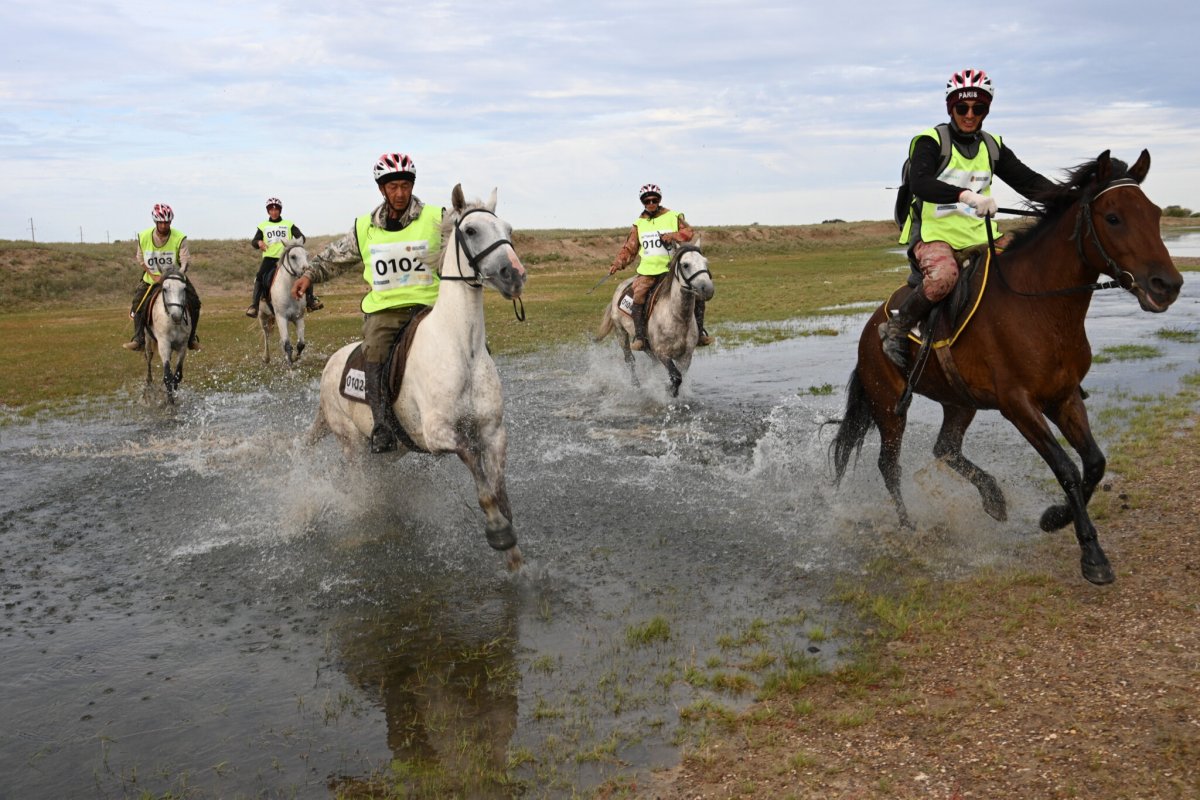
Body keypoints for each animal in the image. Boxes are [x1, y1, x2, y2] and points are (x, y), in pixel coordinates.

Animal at [145, 267, 194, 402]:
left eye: (184, 289)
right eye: (165, 289)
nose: (176, 316)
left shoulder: (182, 346)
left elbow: (177, 376)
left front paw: (175, 396)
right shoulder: (164, 344)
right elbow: (167, 376)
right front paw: (170, 402)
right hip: (147, 339)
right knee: (148, 357)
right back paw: (149, 383)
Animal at [309, 185, 530, 568]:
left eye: (508, 229)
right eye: (471, 230)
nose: (513, 275)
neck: (462, 348)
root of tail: (330, 365)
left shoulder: (493, 432)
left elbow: (499, 489)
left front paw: (515, 557)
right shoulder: (439, 434)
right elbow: (481, 480)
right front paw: (498, 531)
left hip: (389, 451)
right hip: (352, 445)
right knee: (359, 484)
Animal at [597, 242, 715, 395]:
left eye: (705, 262)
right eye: (686, 265)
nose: (708, 289)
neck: (677, 317)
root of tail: (621, 287)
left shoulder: (686, 357)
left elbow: (679, 376)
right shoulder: (662, 353)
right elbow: (676, 376)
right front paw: (668, 389)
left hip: (647, 345)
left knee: (652, 361)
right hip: (621, 332)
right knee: (629, 360)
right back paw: (636, 386)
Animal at [835, 149, 1180, 585]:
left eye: (1154, 214)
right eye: (1114, 217)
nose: (1167, 285)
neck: (1038, 305)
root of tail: (871, 327)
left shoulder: (1063, 396)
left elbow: (1094, 464)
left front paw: (1054, 518)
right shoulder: (1018, 405)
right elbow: (1066, 468)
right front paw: (1091, 554)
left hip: (959, 402)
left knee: (945, 448)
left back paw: (993, 498)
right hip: (888, 406)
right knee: (890, 466)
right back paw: (909, 527)